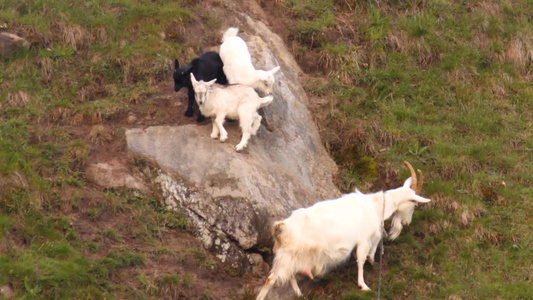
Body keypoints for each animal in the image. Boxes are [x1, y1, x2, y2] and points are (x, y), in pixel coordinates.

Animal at [256, 162, 430, 300]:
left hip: (292, 256)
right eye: (414, 204)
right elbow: (361, 260)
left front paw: (373, 260)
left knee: (290, 275)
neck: (376, 206)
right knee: (271, 279)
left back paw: (299, 294)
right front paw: (363, 285)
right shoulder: (363, 240)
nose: (407, 223)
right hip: (287, 256)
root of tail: (281, 227)